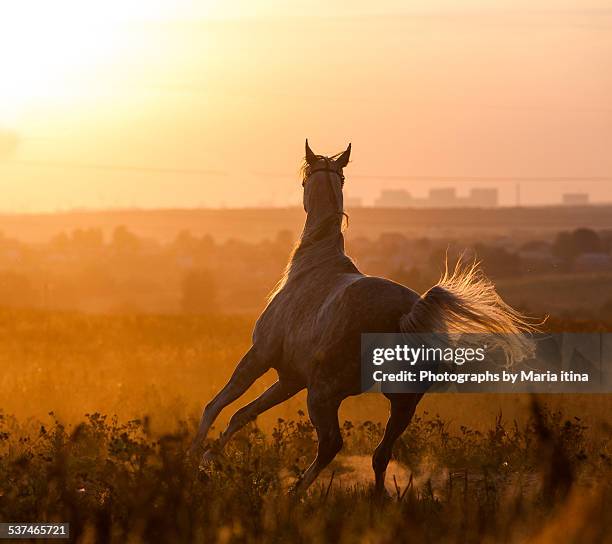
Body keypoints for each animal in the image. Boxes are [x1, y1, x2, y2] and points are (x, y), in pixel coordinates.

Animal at [192, 139, 536, 492]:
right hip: (401, 400)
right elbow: (243, 414)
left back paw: (295, 491)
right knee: (380, 453)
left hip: (323, 395)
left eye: (304, 180)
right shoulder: (289, 379)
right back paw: (375, 497)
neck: (314, 265)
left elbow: (218, 404)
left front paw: (195, 457)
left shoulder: (260, 356)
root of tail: (408, 313)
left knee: (331, 444)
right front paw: (208, 459)